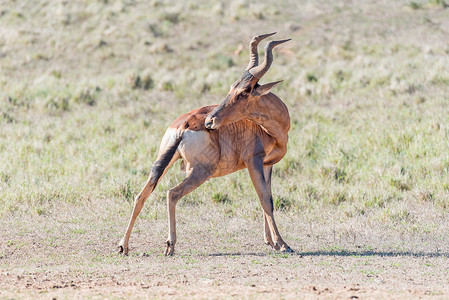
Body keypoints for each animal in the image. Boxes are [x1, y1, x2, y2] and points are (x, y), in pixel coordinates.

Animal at [118, 33, 294, 258]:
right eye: (233, 88)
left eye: (244, 91)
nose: (210, 121)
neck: (268, 128)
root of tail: (182, 125)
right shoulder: (253, 161)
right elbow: (265, 199)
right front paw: (283, 244)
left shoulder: (267, 165)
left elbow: (268, 198)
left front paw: (270, 242)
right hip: (202, 171)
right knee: (172, 193)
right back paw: (170, 245)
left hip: (163, 162)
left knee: (141, 195)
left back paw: (123, 246)